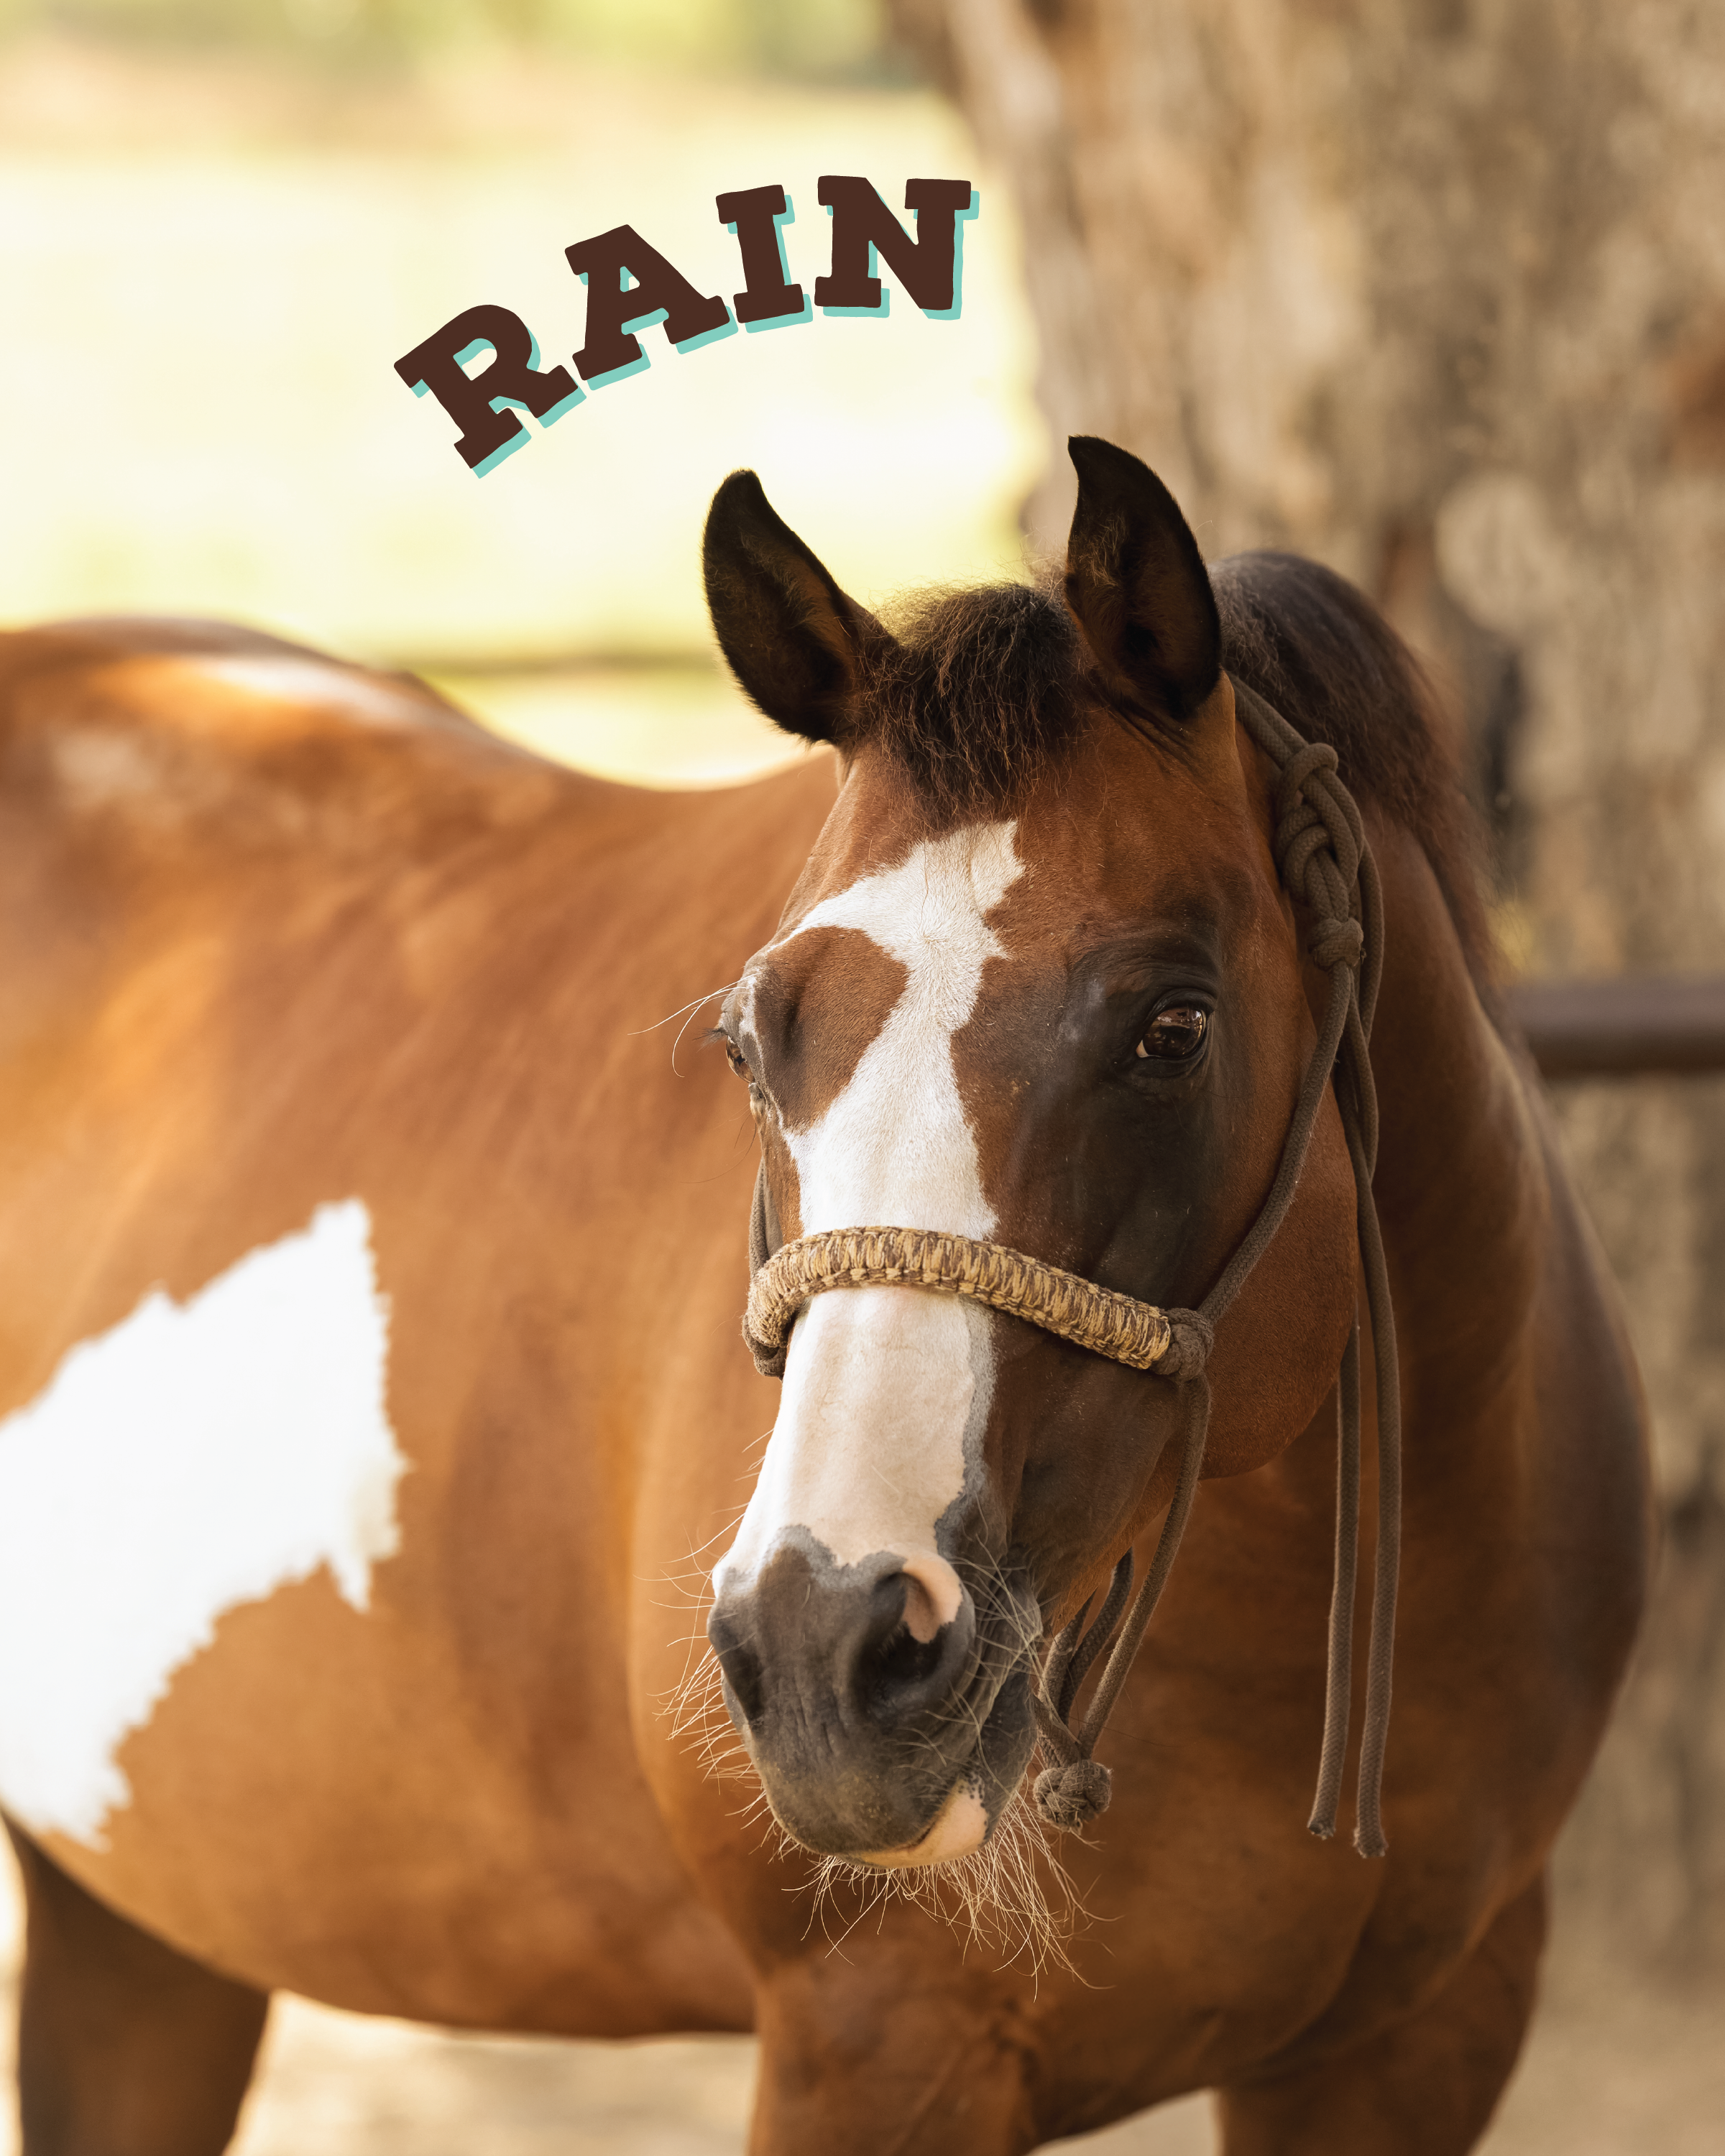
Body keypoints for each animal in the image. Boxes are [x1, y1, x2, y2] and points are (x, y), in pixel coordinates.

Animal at [0, 438, 1647, 2155]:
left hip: (143, 1930)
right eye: (749, 1041)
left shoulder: (1416, 2039)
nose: (825, 1652)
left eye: (1174, 1028)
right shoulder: (873, 2045)